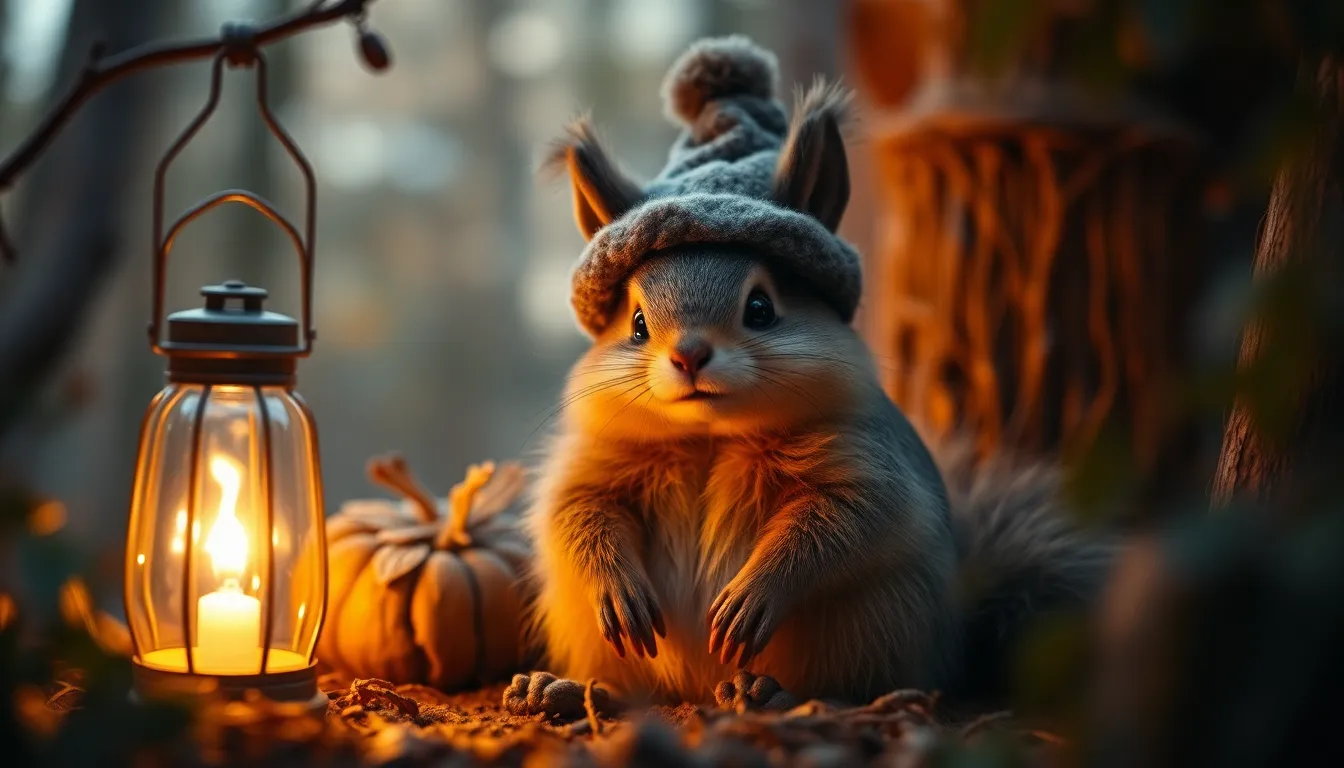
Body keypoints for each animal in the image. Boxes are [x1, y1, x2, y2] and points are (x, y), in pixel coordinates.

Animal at [515, 36, 1114, 712]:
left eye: (761, 307)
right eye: (636, 323)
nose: (689, 355)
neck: (708, 438)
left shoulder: (865, 465)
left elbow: (837, 527)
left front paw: (752, 597)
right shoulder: (594, 467)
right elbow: (577, 517)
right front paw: (617, 593)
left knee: (846, 685)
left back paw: (760, 689)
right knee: (629, 689)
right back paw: (561, 688)